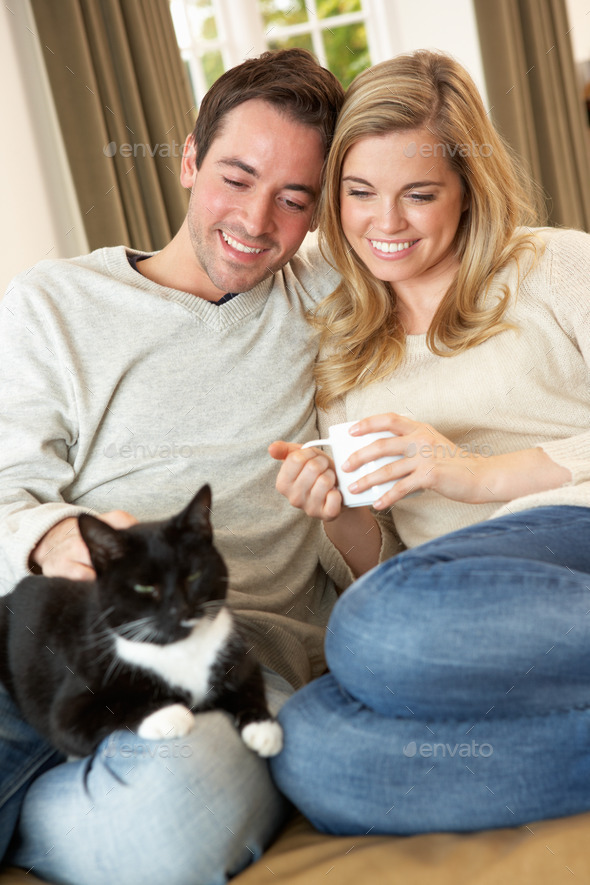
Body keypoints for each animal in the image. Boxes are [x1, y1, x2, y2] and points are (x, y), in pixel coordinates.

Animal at [0, 486, 284, 756]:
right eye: (145, 588)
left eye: (193, 575)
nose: (181, 609)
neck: (180, 649)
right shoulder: (70, 708)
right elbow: (105, 713)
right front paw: (169, 714)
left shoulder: (236, 651)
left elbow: (249, 684)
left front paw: (263, 728)